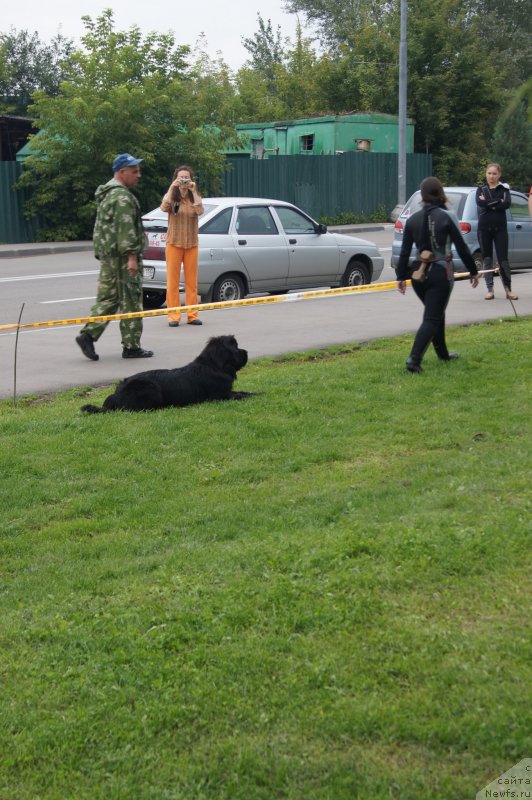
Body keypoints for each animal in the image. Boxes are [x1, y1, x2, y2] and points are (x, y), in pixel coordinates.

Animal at [80, 334, 251, 416]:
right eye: (235, 347)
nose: (246, 352)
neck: (213, 365)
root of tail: (116, 394)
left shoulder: (227, 392)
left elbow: (244, 392)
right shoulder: (221, 396)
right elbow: (243, 395)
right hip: (151, 388)